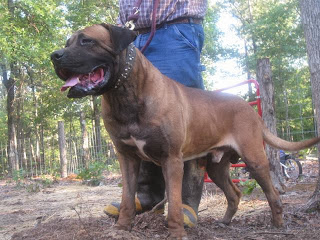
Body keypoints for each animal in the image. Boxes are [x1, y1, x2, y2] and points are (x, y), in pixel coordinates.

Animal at [50, 23, 320, 238]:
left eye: (87, 41)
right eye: (67, 43)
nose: (55, 55)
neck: (125, 95)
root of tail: (249, 107)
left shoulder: (171, 159)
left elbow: (175, 203)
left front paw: (176, 232)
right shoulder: (126, 157)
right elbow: (128, 197)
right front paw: (122, 227)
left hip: (254, 159)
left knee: (272, 194)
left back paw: (278, 223)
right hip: (216, 166)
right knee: (234, 193)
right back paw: (225, 221)